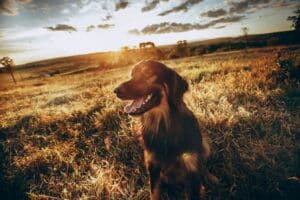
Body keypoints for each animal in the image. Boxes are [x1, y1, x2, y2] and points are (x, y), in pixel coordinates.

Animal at [113, 60, 214, 199]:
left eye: (147, 73)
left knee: (203, 166)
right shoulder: (153, 166)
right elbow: (154, 193)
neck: (164, 125)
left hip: (204, 144)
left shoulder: (191, 166)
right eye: (132, 74)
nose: (115, 90)